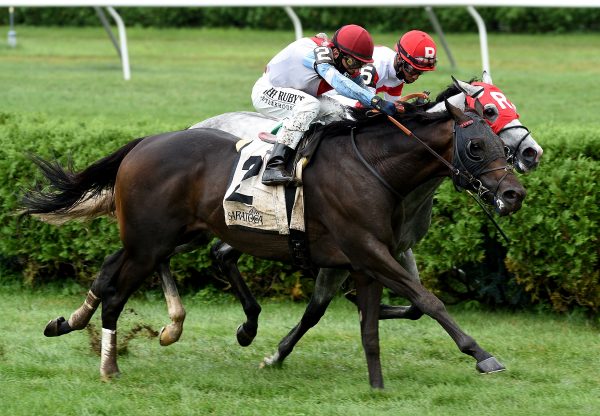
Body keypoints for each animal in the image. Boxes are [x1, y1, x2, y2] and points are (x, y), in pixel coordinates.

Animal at [21, 102, 524, 388]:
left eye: (499, 142)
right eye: (476, 146)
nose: (514, 193)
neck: (376, 167)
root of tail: (145, 142)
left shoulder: (367, 257)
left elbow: (371, 320)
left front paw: (375, 382)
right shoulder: (368, 251)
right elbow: (428, 300)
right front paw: (482, 356)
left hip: (174, 236)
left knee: (112, 271)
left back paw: (79, 324)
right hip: (152, 241)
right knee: (118, 292)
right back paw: (114, 363)